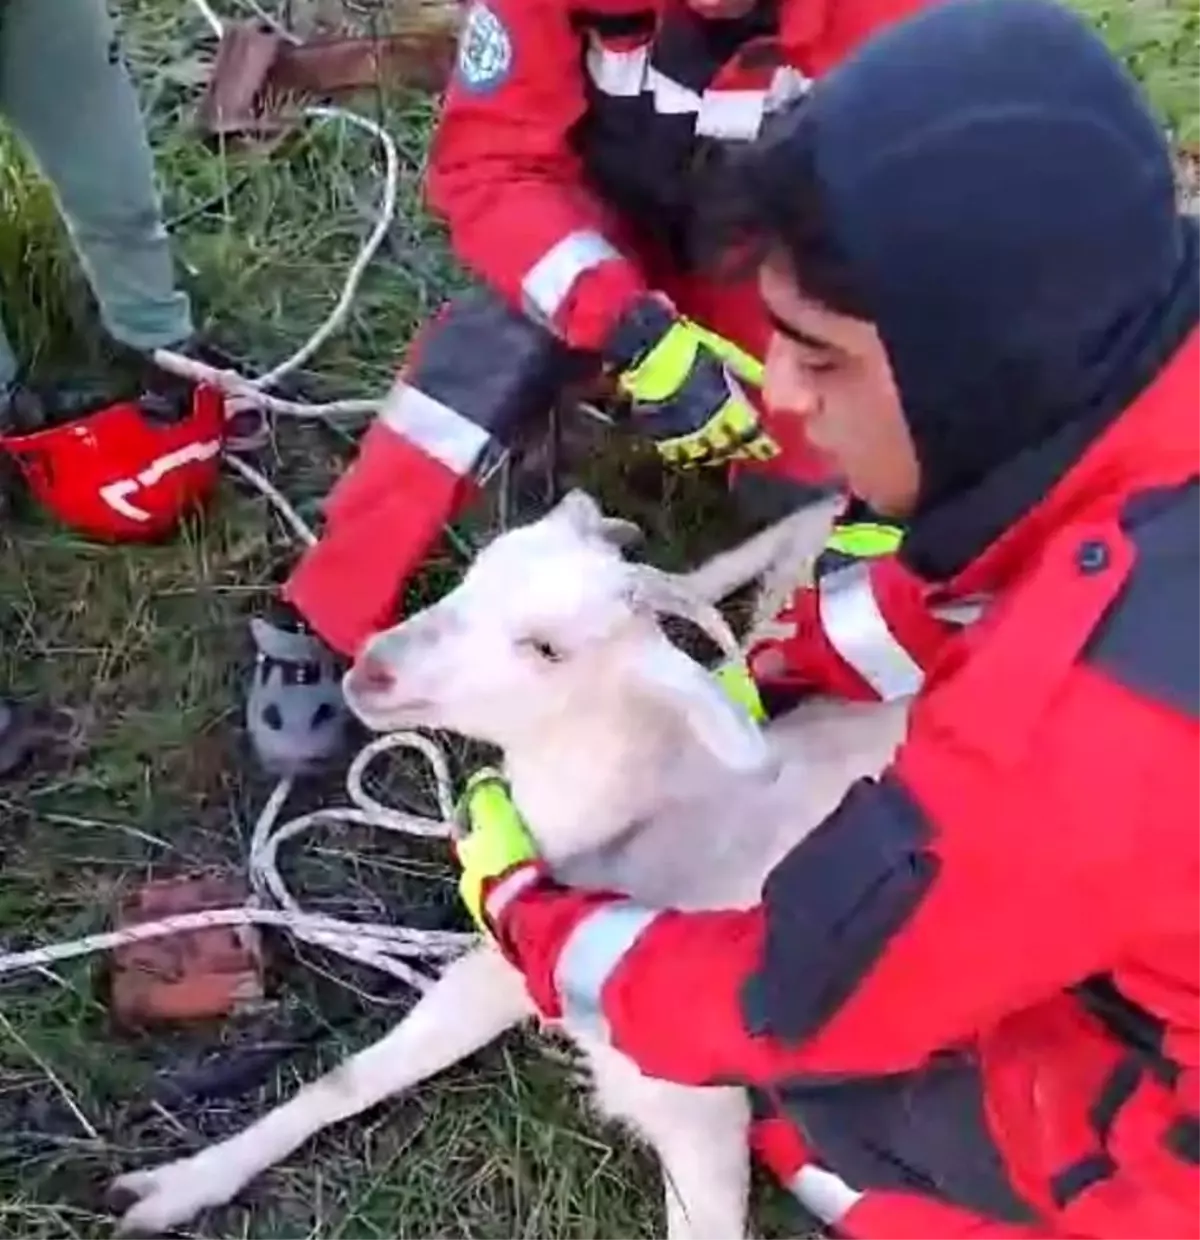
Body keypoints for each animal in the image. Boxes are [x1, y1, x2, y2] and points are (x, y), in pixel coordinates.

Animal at [112, 488, 912, 1235]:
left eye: (548, 649)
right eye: (476, 571)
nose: (373, 670)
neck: (651, 813)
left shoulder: (696, 1109)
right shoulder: (505, 964)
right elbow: (351, 1077)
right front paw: (180, 1184)